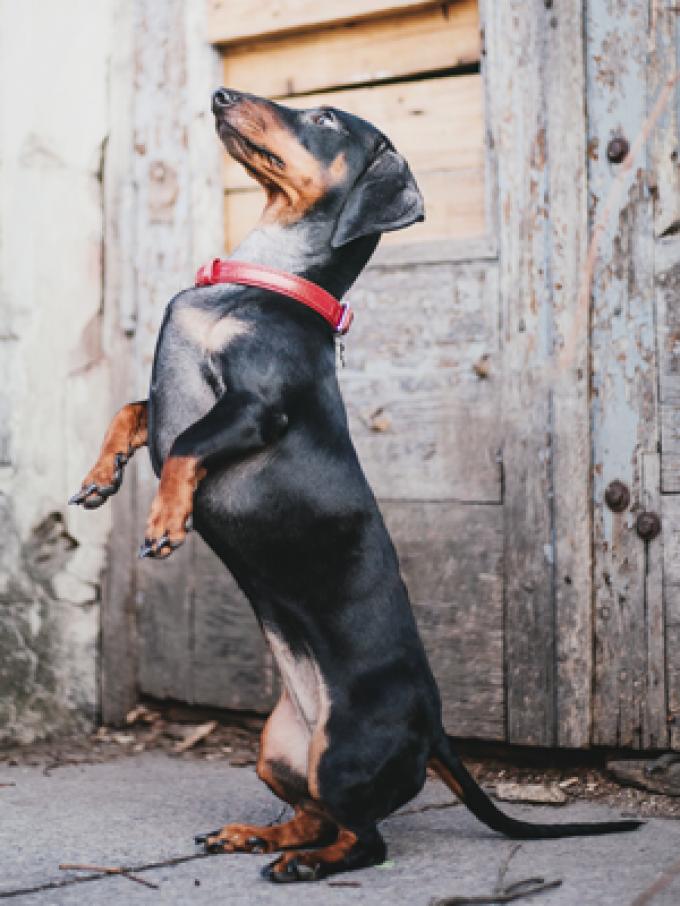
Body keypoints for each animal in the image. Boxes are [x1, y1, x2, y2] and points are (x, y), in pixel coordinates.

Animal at [70, 88, 644, 880]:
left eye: (326, 120)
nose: (221, 95)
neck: (260, 280)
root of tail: (434, 731)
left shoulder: (255, 408)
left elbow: (184, 444)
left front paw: (165, 519)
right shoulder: (175, 403)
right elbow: (132, 411)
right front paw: (100, 479)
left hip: (345, 752)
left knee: (365, 839)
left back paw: (305, 865)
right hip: (279, 749)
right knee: (313, 814)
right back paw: (257, 836)